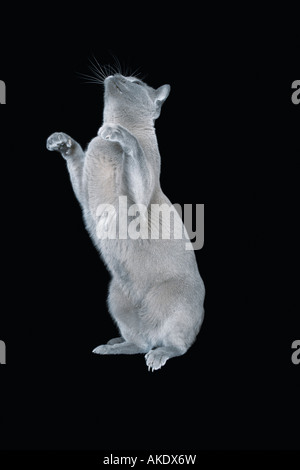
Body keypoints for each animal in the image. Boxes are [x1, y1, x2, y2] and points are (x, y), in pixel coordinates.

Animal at [47, 70, 205, 370]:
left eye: (135, 83)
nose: (115, 75)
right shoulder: (85, 198)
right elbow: (77, 161)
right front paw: (62, 141)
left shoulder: (139, 202)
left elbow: (136, 156)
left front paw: (119, 135)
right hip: (115, 293)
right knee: (139, 342)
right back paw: (111, 346)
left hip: (173, 301)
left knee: (175, 346)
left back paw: (157, 356)